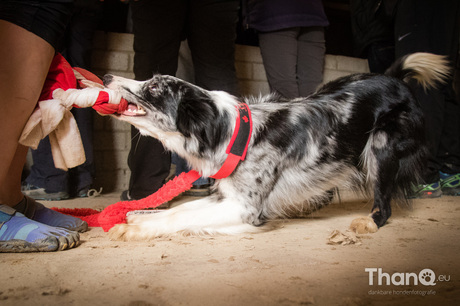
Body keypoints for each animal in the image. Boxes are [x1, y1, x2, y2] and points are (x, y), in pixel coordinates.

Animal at [103, 52, 450, 239]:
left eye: (154, 89)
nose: (106, 76)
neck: (234, 133)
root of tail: (395, 78)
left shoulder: (246, 208)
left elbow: (180, 217)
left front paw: (136, 229)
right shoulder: (228, 195)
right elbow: (182, 208)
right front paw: (139, 217)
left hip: (381, 146)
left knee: (386, 204)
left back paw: (370, 220)